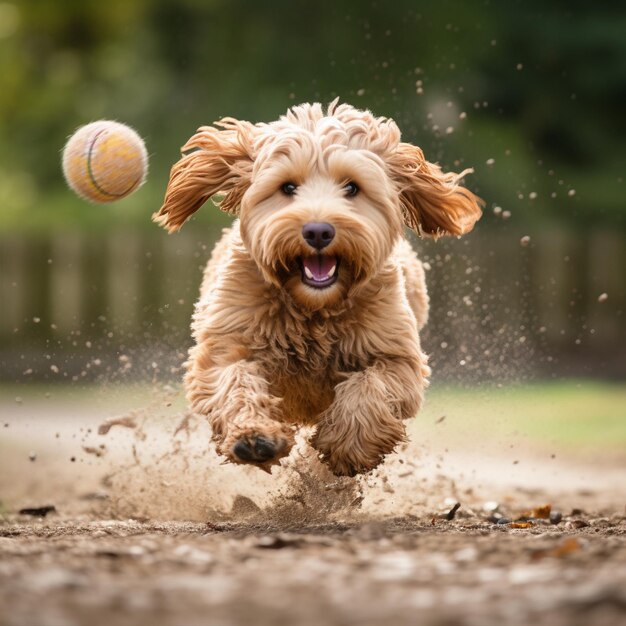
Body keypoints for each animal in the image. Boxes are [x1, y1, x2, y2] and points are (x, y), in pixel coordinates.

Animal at [154, 100, 480, 476]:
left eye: (352, 187)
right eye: (287, 187)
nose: (318, 231)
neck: (314, 311)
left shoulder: (398, 357)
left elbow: (370, 385)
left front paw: (348, 446)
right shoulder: (225, 343)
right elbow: (235, 379)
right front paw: (254, 435)